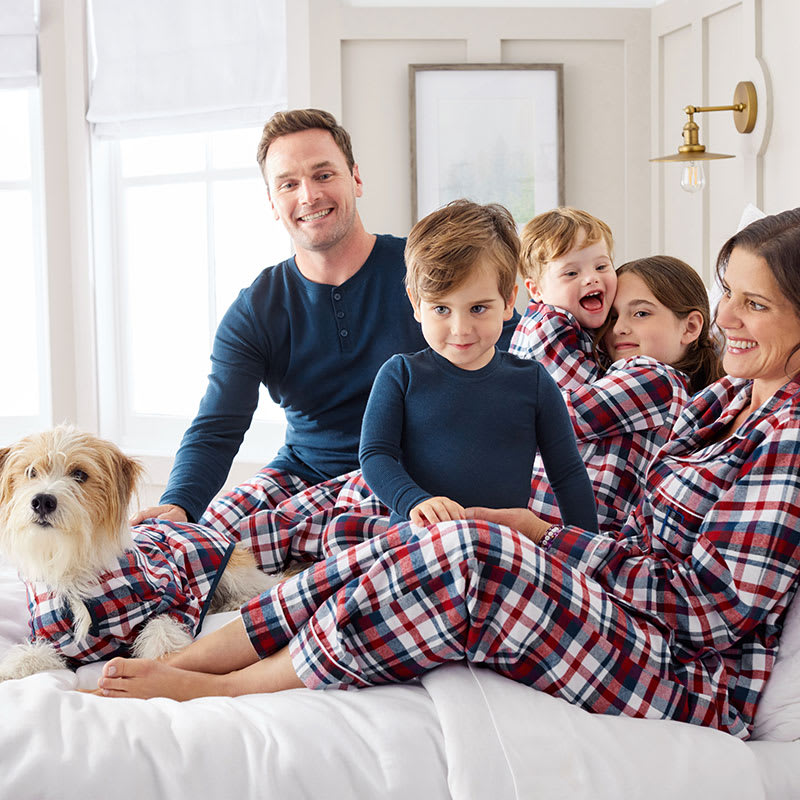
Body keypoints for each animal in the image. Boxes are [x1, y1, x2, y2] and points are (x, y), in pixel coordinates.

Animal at [0, 428, 282, 680]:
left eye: (79, 474)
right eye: (31, 472)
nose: (42, 501)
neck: (73, 564)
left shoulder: (178, 599)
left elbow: (161, 628)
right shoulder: (56, 640)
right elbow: (36, 654)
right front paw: (11, 668)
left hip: (234, 572)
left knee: (269, 583)